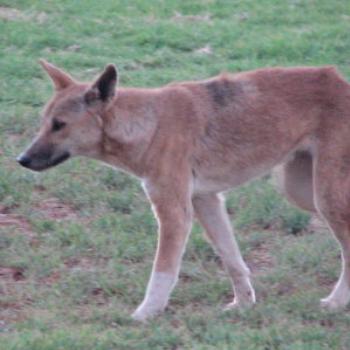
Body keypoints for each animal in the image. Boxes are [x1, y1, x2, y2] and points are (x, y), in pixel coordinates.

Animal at [17, 60, 350, 320]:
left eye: (59, 125)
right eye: (44, 122)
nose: (21, 160)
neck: (149, 125)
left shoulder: (174, 213)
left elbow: (163, 272)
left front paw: (145, 314)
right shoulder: (206, 201)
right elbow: (233, 260)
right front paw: (243, 304)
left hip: (325, 197)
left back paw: (336, 302)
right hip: (301, 192)